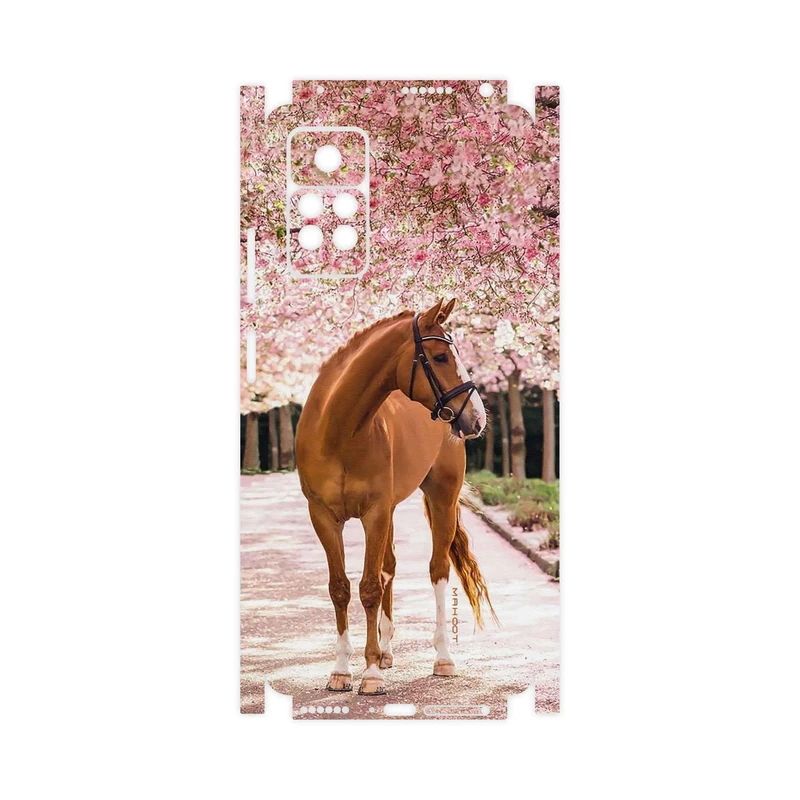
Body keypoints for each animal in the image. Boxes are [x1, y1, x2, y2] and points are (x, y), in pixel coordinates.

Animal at [295, 298, 495, 695]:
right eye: (439, 356)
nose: (477, 418)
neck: (338, 430)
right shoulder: (324, 516)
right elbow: (340, 588)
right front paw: (341, 670)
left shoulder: (374, 513)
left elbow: (370, 588)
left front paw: (370, 674)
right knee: (389, 567)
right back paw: (386, 651)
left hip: (441, 497)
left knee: (437, 570)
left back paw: (442, 658)